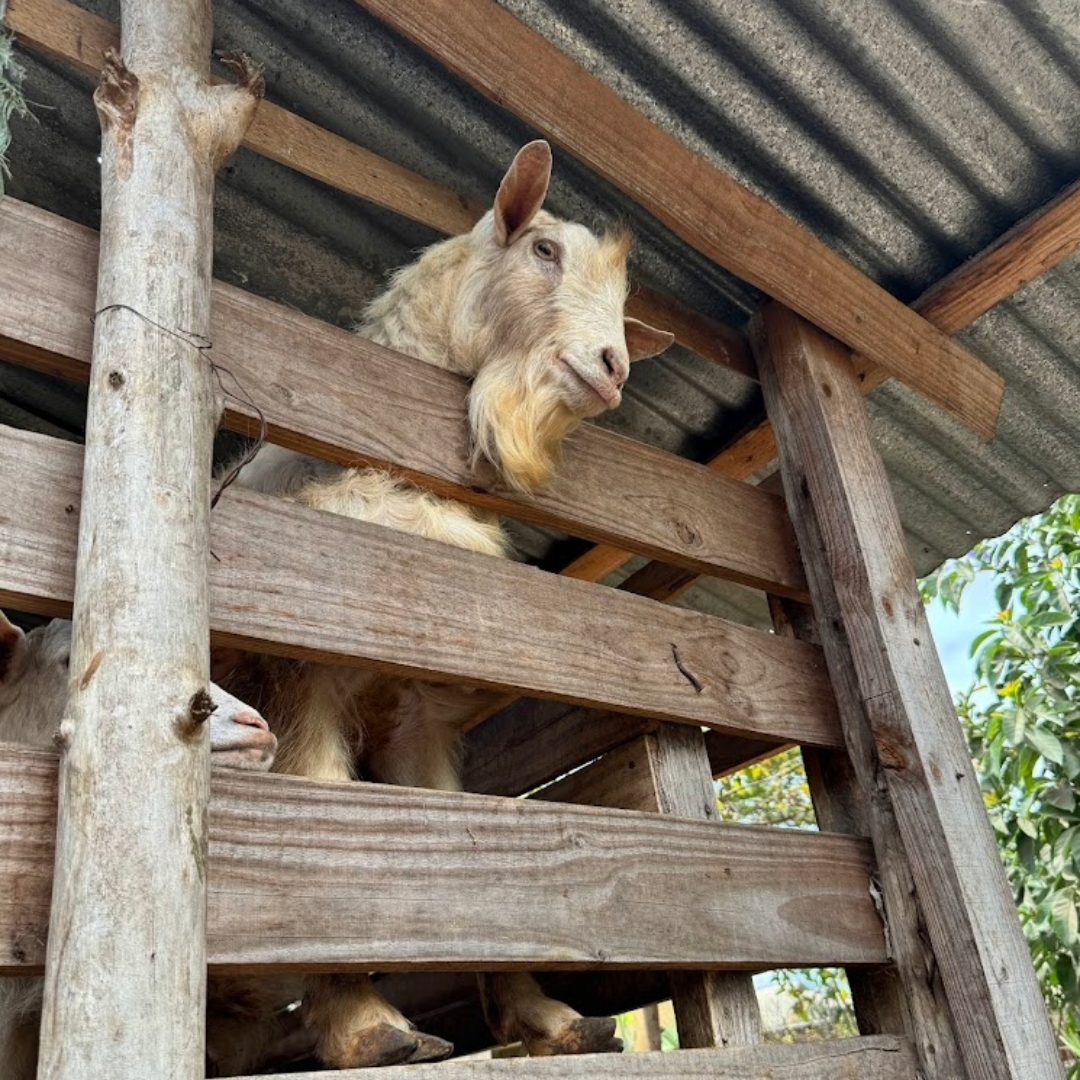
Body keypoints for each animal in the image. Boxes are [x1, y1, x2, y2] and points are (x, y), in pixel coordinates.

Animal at [222, 139, 669, 1067]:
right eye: (543, 248)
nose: (612, 367)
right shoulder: (308, 670)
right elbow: (325, 806)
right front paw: (370, 1030)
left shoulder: (420, 706)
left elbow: (453, 830)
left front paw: (550, 1019)